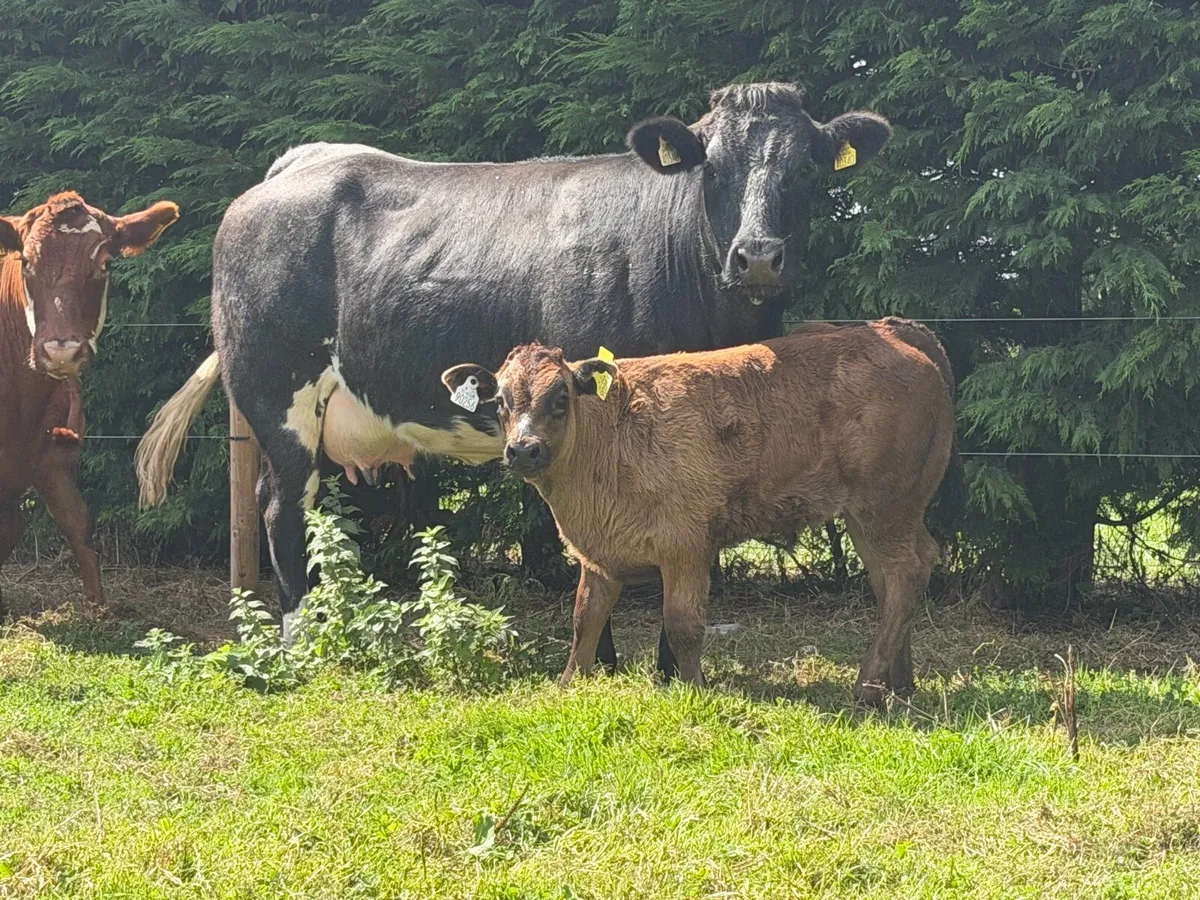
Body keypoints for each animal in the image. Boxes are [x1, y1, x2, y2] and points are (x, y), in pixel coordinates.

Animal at [0, 192, 180, 617]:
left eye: (104, 264)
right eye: (26, 262)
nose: (60, 351)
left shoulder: (50, 456)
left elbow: (75, 520)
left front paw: (98, 606)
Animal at [134, 82, 892, 648]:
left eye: (805, 169)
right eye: (713, 166)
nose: (757, 257)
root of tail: (298, 165)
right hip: (275, 393)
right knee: (280, 508)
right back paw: (304, 643)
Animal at [441, 318, 963, 705]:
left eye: (561, 398)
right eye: (500, 400)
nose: (523, 449)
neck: (609, 440)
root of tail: (892, 331)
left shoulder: (686, 545)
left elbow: (682, 624)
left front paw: (693, 688)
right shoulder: (599, 555)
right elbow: (585, 618)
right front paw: (569, 684)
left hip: (884, 506)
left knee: (904, 574)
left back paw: (867, 687)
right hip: (876, 514)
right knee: (892, 579)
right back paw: (900, 683)